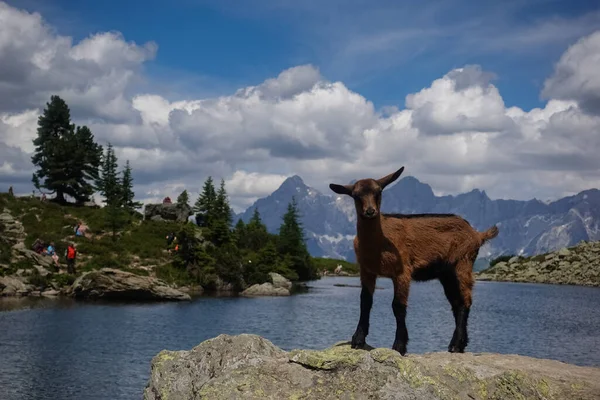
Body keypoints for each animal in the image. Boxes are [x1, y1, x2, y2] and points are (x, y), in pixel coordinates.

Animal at [330, 167, 500, 354]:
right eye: (355, 195)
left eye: (379, 191)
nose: (370, 211)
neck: (380, 242)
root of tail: (477, 234)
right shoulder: (367, 270)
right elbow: (365, 302)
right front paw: (358, 339)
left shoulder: (402, 271)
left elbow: (398, 306)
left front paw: (399, 345)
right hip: (446, 273)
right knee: (456, 303)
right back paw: (458, 344)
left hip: (463, 262)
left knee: (465, 301)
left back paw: (456, 345)